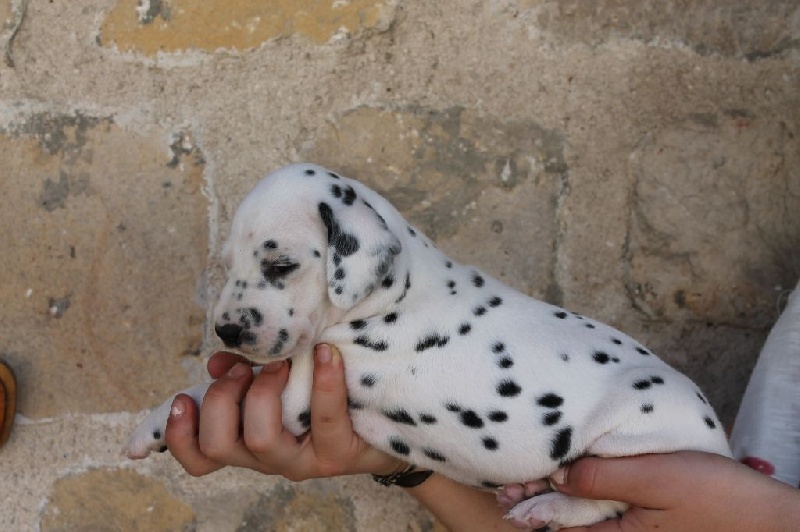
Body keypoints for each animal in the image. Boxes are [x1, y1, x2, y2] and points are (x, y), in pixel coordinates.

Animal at [125, 163, 732, 529]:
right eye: (229, 265)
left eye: (281, 265)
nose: (226, 330)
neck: (393, 291)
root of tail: (720, 445)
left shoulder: (294, 397)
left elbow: (206, 390)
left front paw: (151, 423)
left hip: (630, 442)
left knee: (606, 499)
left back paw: (549, 503)